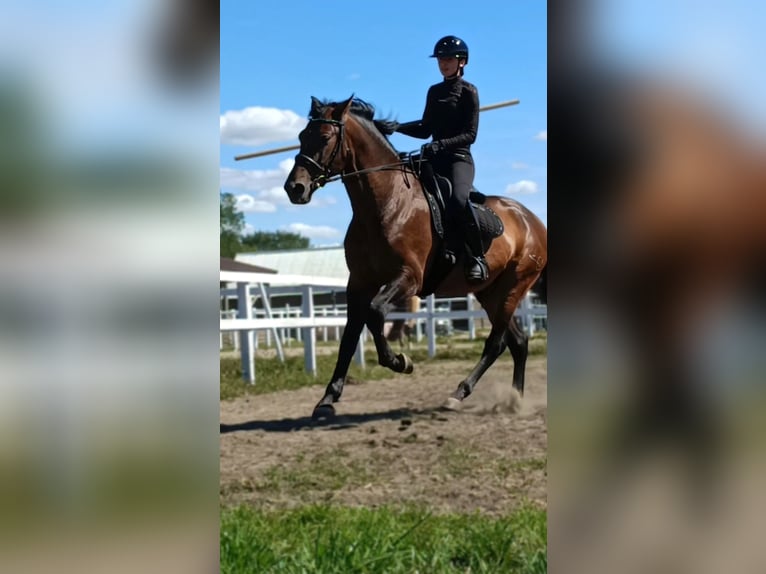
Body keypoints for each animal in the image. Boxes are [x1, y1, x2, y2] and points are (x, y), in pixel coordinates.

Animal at [284, 95, 547, 419]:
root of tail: (533, 220)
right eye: (301, 136)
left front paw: (400, 361)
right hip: (489, 292)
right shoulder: (359, 283)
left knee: (496, 343)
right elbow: (349, 336)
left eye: (323, 137)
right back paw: (513, 399)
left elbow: (375, 313)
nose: (294, 188)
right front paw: (327, 399)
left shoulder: (408, 277)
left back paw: (463, 395)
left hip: (514, 286)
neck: (387, 204)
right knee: (518, 342)